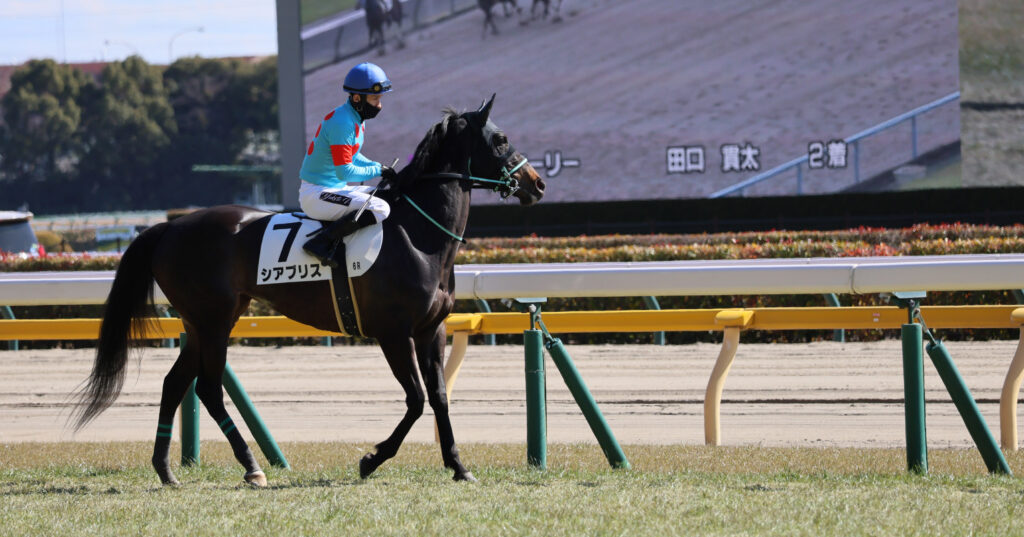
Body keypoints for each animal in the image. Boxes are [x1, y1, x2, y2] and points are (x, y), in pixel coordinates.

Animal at [73, 94, 545, 487]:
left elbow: (440, 397)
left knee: (175, 384)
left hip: (203, 321)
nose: (537, 183)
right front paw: (371, 460)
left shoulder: (432, 329)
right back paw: (252, 467)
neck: (419, 236)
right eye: (501, 138)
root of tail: (167, 227)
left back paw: (166, 470)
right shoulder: (393, 333)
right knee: (207, 388)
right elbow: (414, 400)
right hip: (214, 320)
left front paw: (459, 466)